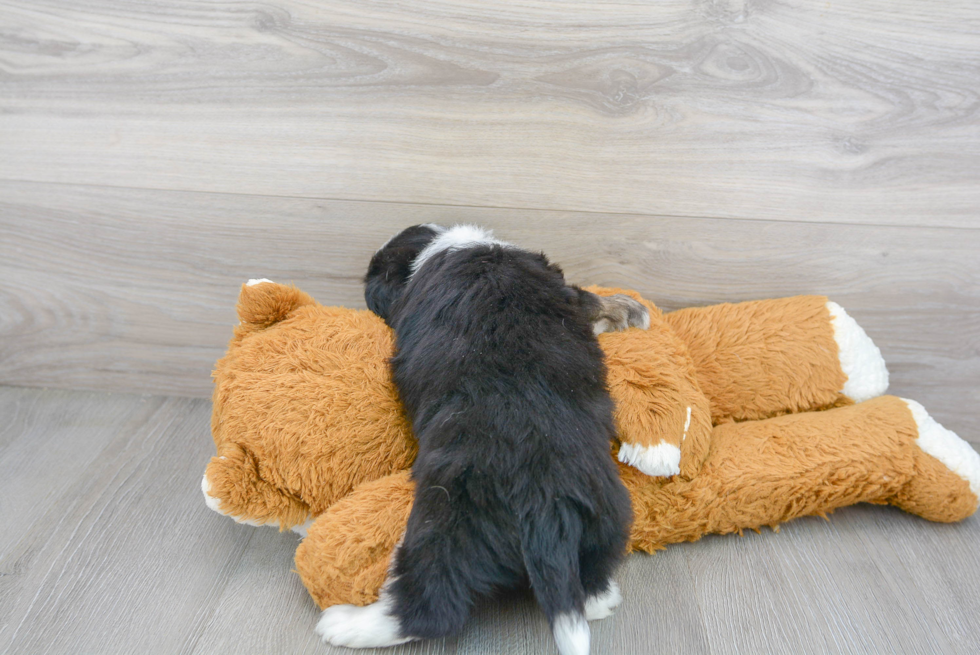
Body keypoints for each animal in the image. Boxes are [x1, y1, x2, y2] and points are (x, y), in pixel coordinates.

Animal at [318, 226, 648, 655]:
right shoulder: (561, 287)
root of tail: (547, 504)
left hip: (446, 520)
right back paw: (600, 598)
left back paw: (345, 624)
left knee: (432, 604)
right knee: (590, 585)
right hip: (610, 513)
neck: (441, 249)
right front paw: (630, 310)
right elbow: (588, 300)